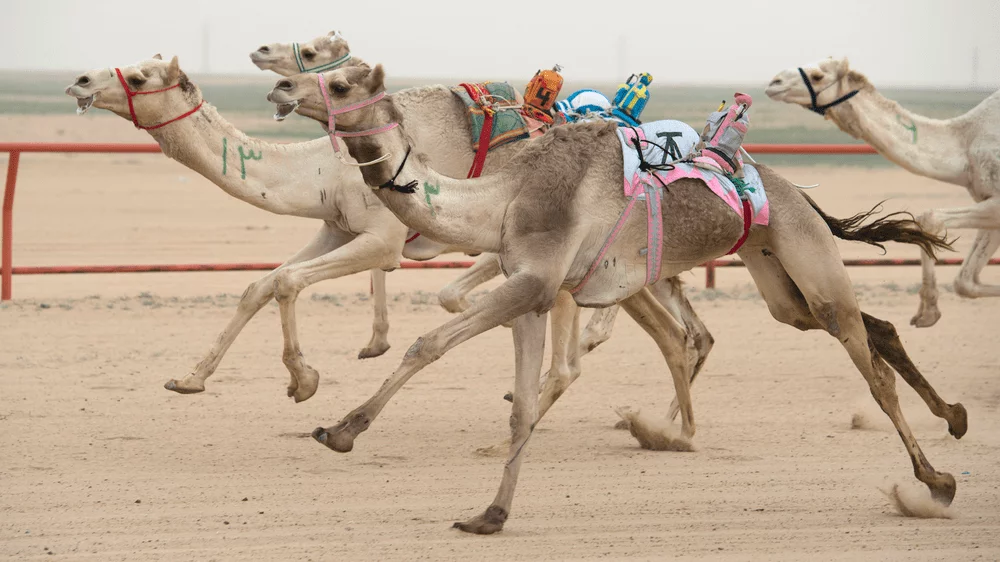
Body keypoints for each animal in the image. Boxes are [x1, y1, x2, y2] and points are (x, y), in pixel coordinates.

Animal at [268, 63, 965, 534]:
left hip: (804, 251)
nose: (279, 90)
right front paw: (490, 515)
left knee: (867, 363)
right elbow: (523, 404)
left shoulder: (534, 281)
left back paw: (935, 481)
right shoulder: (534, 291)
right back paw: (954, 417)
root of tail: (795, 191)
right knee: (860, 327)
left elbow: (428, 343)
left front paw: (339, 429)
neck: (506, 195)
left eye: (339, 83)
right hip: (776, 274)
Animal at [766, 57, 1000, 328]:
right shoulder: (989, 201)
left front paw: (928, 313)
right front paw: (927, 313)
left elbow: (930, 218)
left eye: (818, 76)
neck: (963, 144)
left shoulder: (996, 202)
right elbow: (965, 282)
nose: (774, 82)